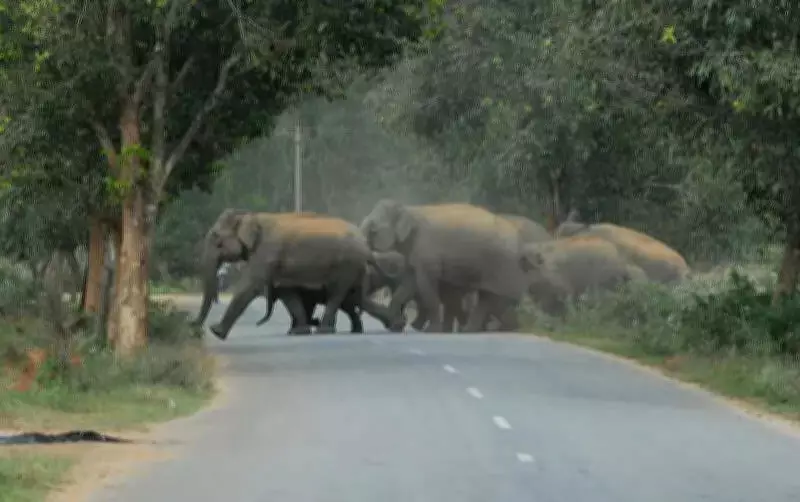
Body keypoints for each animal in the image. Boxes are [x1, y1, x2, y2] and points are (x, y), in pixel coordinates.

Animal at [193, 209, 394, 340]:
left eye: (216, 238)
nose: (195, 328)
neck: (249, 216)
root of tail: (365, 244)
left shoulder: (268, 251)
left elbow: (251, 285)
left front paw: (216, 332)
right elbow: (287, 292)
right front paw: (297, 332)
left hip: (346, 264)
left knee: (336, 294)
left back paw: (324, 330)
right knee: (348, 297)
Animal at [359, 200, 528, 333]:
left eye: (373, 229)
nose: (398, 324)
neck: (408, 209)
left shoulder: (427, 252)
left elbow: (425, 286)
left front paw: (430, 331)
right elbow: (409, 283)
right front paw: (396, 325)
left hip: (502, 266)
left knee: (496, 300)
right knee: (490, 301)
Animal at [519, 235, 648, 317]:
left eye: (536, 258)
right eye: (524, 266)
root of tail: (622, 259)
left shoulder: (556, 275)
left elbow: (564, 293)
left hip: (604, 273)